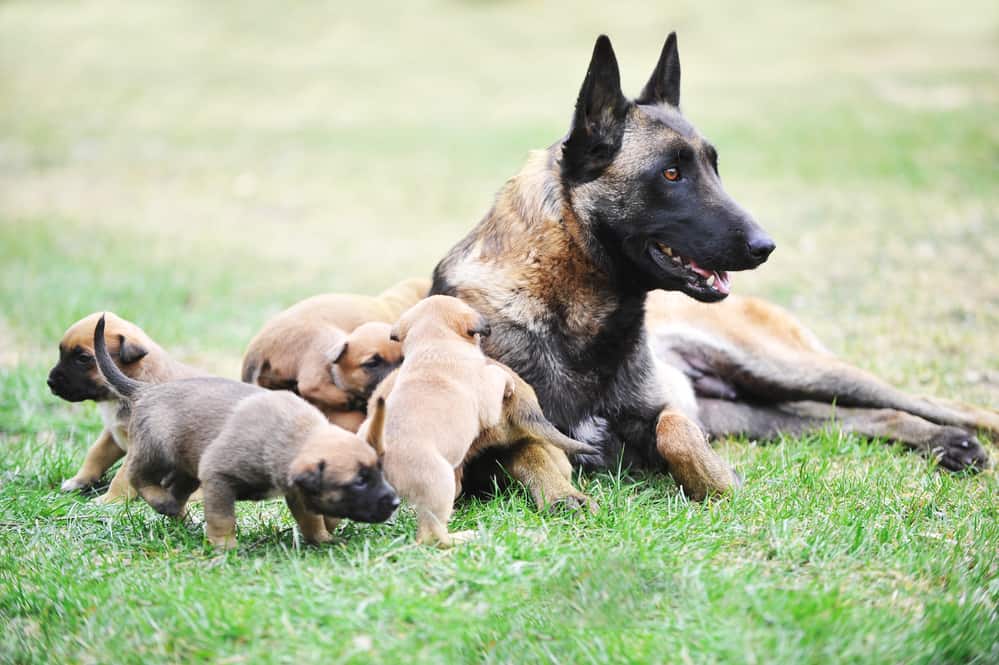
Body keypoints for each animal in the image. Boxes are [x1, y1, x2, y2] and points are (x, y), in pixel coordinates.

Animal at [47, 312, 203, 504]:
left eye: (83, 358)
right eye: (61, 352)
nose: (50, 382)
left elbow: (121, 477)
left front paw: (110, 499)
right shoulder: (112, 435)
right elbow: (96, 454)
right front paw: (79, 481)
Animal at [93, 314, 398, 548]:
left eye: (378, 472)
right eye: (359, 481)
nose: (395, 502)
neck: (293, 437)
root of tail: (146, 390)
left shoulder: (296, 492)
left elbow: (309, 520)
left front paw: (322, 539)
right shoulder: (217, 477)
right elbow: (222, 517)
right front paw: (225, 546)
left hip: (187, 464)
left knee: (176, 491)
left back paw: (178, 513)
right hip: (156, 449)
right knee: (137, 476)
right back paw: (160, 500)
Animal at [430, 29, 992, 504]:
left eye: (714, 167)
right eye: (671, 174)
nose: (766, 247)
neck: (569, 304)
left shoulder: (666, 413)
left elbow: (674, 429)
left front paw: (720, 480)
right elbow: (529, 450)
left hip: (786, 369)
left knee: (923, 400)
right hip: (758, 413)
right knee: (864, 417)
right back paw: (946, 443)